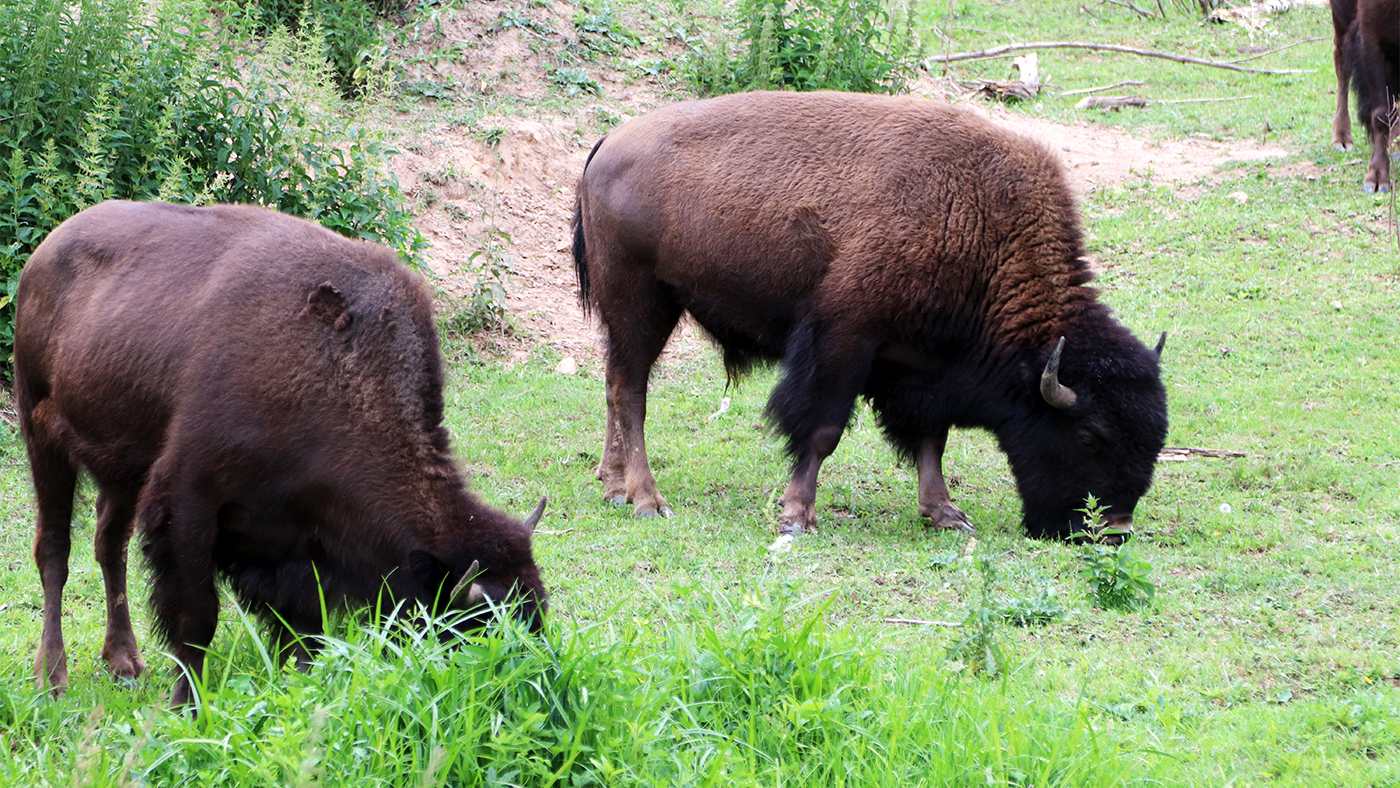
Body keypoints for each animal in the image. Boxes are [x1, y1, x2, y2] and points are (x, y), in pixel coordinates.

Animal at [17, 200, 551, 705]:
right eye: (477, 626)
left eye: (538, 610)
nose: (525, 680)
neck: (337, 374)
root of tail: (43, 253)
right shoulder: (189, 502)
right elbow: (197, 619)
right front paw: (187, 706)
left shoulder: (298, 544)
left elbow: (303, 630)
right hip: (42, 438)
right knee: (54, 551)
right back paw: (52, 677)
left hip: (120, 469)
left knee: (110, 545)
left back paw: (124, 662)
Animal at [568, 89, 1170, 540]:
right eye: (1090, 436)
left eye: (1155, 439)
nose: (1113, 531)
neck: (977, 223)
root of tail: (608, 142)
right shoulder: (844, 341)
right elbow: (822, 430)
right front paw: (797, 517)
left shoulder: (923, 365)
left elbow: (931, 439)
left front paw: (945, 513)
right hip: (641, 301)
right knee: (631, 392)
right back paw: (647, 500)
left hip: (633, 313)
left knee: (614, 383)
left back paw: (612, 485)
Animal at [1332, 0, 1400, 191]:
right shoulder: (1371, 36)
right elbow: (1381, 114)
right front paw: (1376, 178)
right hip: (1342, 15)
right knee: (1341, 62)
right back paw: (1341, 139)